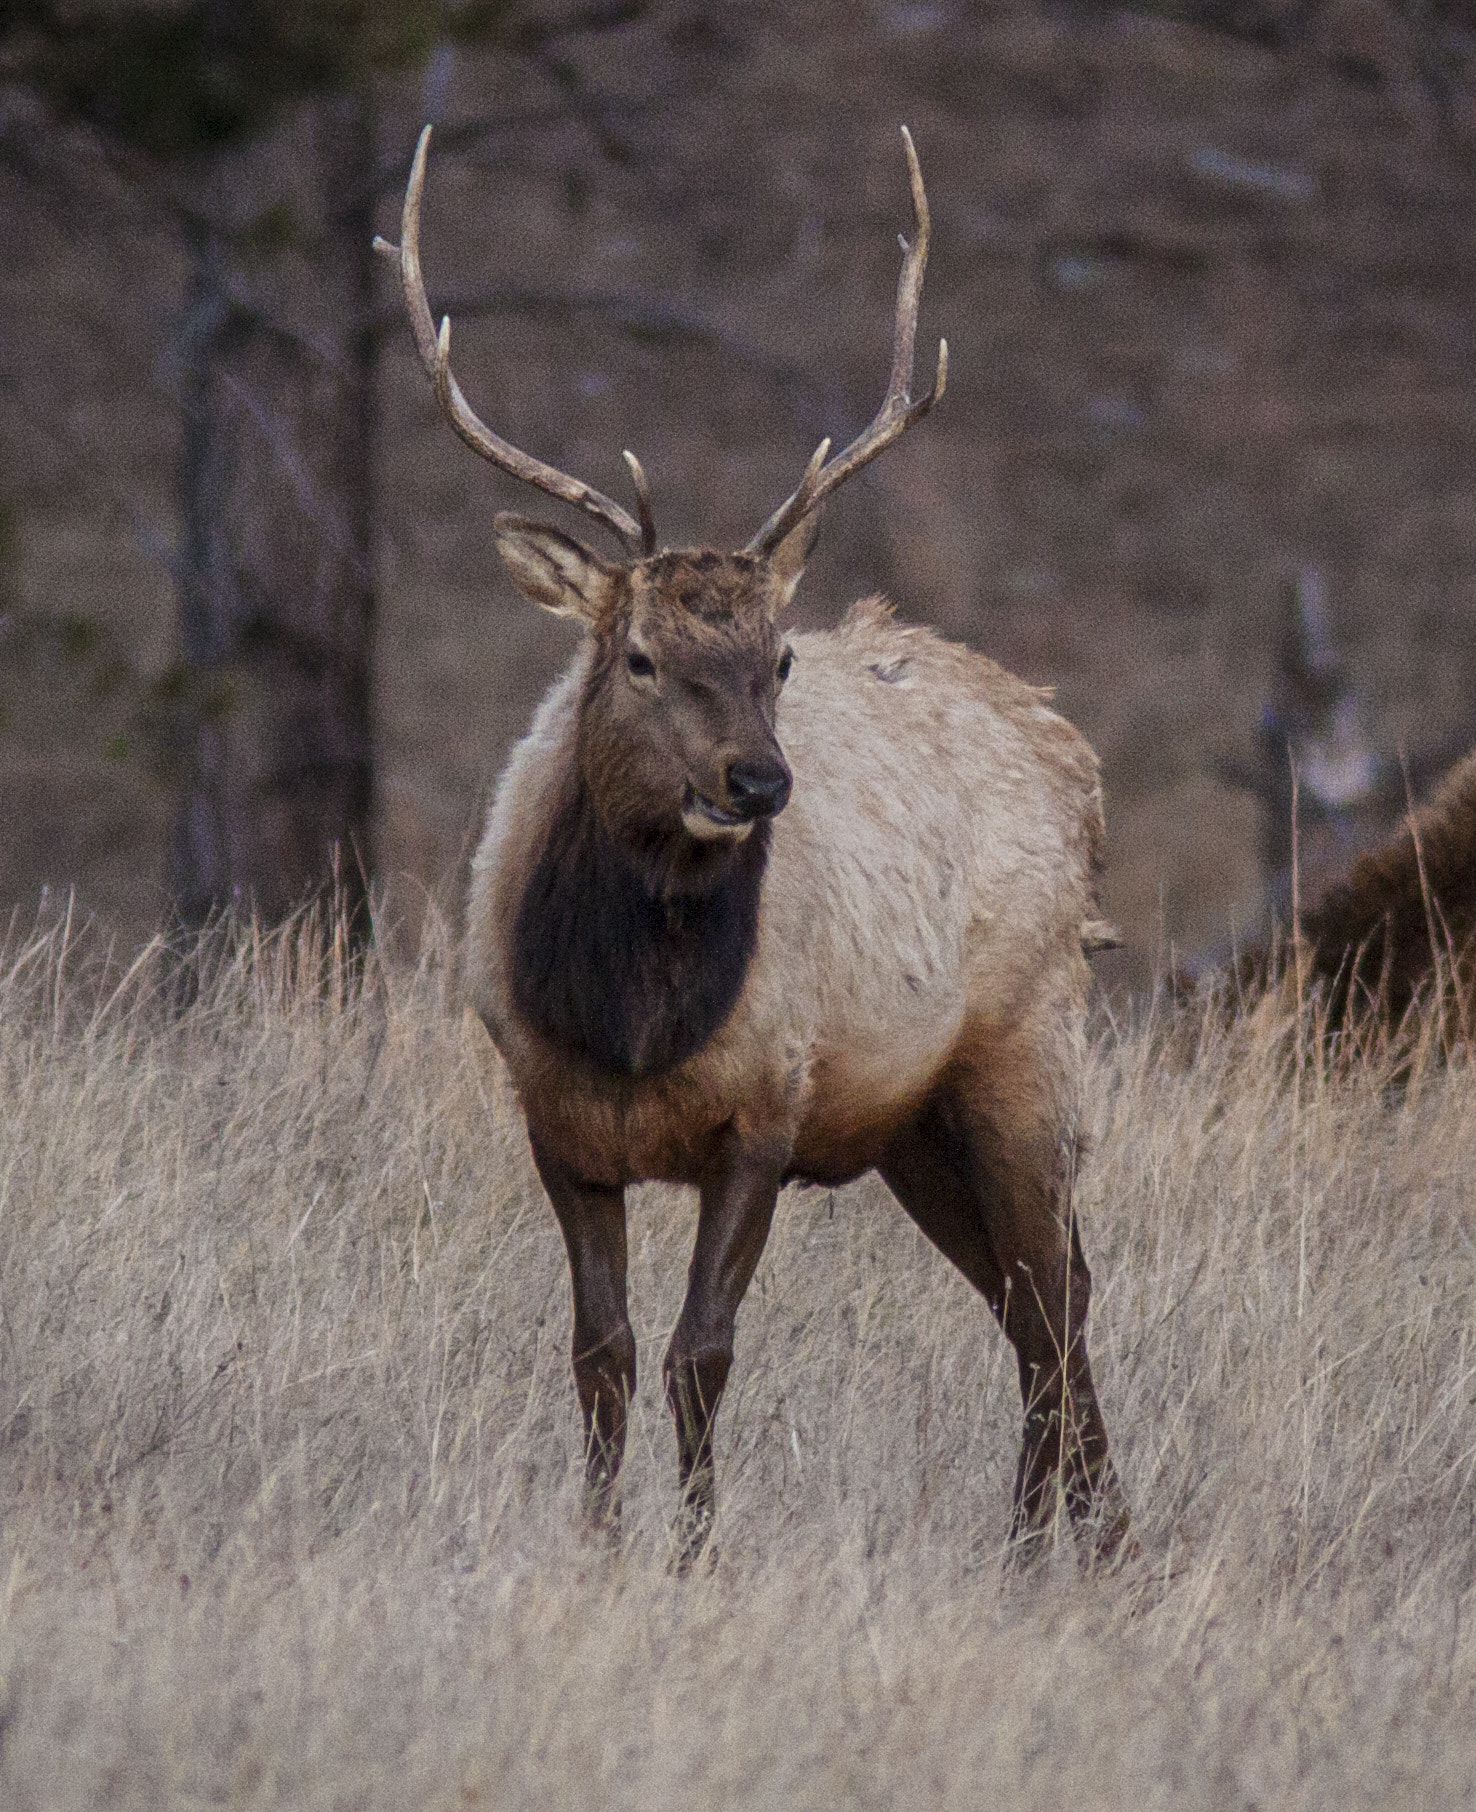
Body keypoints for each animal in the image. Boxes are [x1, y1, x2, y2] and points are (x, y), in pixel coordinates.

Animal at [376, 125, 1134, 1569]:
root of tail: (1076, 754)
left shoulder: (768, 1110)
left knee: (1059, 1300)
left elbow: (701, 1354)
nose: (760, 780)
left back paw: (1088, 1545)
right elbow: (603, 1351)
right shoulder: (551, 1117)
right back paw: (1050, 1542)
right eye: (637, 654)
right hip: (915, 1122)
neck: (630, 1021)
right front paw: (599, 1541)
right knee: (1029, 1301)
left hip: (1026, 1040)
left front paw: (695, 1550)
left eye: (778, 657)